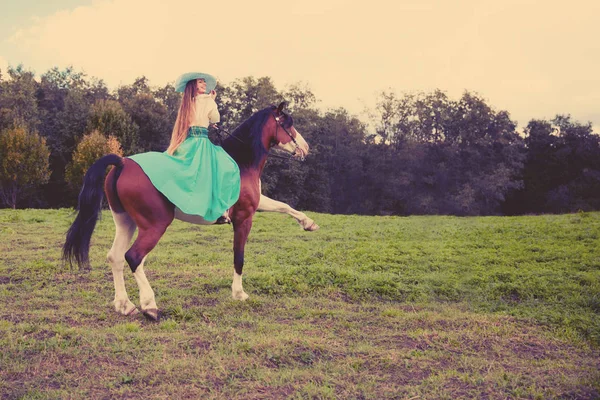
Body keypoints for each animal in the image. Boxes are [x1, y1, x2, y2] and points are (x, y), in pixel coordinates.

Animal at [63, 101, 310, 320]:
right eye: (287, 123)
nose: (305, 149)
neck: (241, 162)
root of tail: (123, 163)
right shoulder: (244, 217)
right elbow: (238, 257)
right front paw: (239, 294)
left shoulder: (257, 204)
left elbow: (284, 206)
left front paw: (308, 223)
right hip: (155, 225)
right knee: (133, 257)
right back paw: (149, 306)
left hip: (125, 222)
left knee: (115, 257)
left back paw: (125, 305)